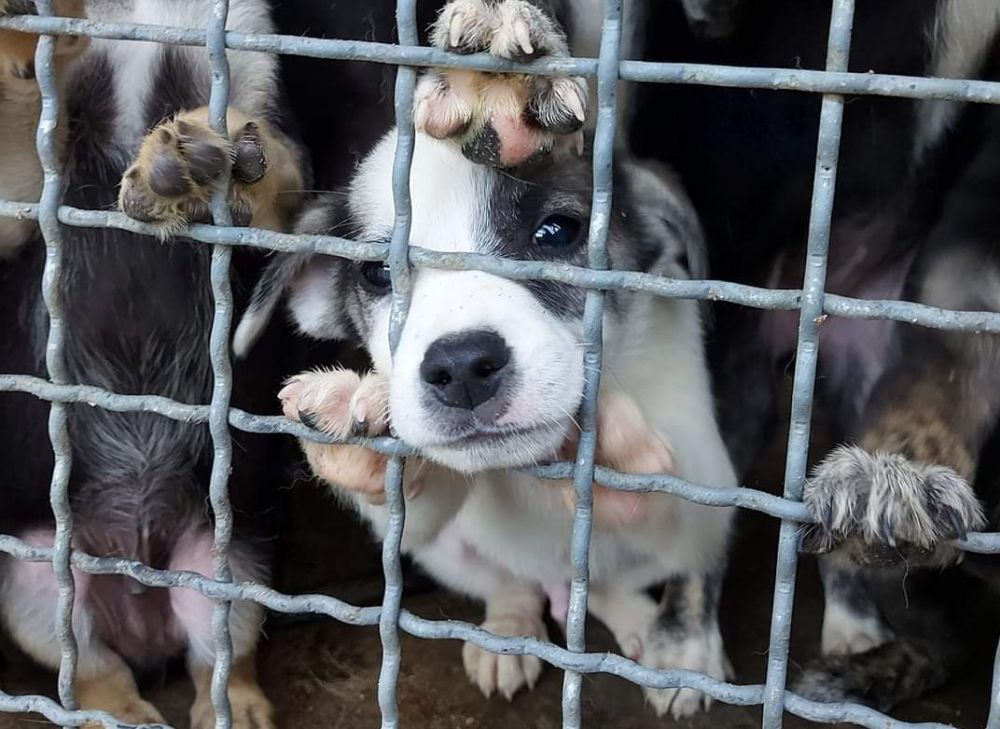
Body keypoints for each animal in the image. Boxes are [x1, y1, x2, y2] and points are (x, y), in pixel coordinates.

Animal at [0, 0, 308, 724]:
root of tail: (138, 587)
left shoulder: (251, 77)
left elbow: (281, 173)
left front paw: (210, 160)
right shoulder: (28, 193)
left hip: (231, 559)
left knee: (217, 658)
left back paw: (235, 707)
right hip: (33, 575)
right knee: (92, 668)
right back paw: (120, 714)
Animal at [235, 0, 736, 716]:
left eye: (557, 233)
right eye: (378, 275)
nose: (463, 368)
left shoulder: (711, 482)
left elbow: (683, 525)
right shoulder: (420, 524)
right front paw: (354, 422)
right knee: (511, 581)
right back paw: (510, 628)